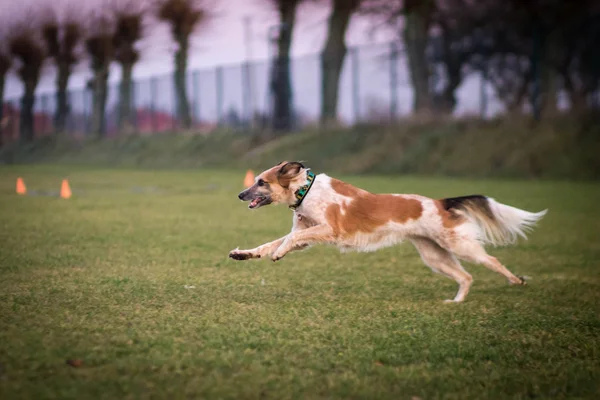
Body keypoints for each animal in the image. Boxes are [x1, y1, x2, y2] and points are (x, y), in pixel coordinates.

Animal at [227, 161, 548, 302]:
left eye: (261, 182)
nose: (240, 195)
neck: (306, 190)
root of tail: (440, 202)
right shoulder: (310, 233)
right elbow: (269, 244)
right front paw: (245, 254)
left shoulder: (329, 229)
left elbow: (289, 239)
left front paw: (279, 254)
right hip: (434, 256)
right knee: (466, 277)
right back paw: (456, 303)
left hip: (459, 246)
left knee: (492, 262)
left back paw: (517, 281)